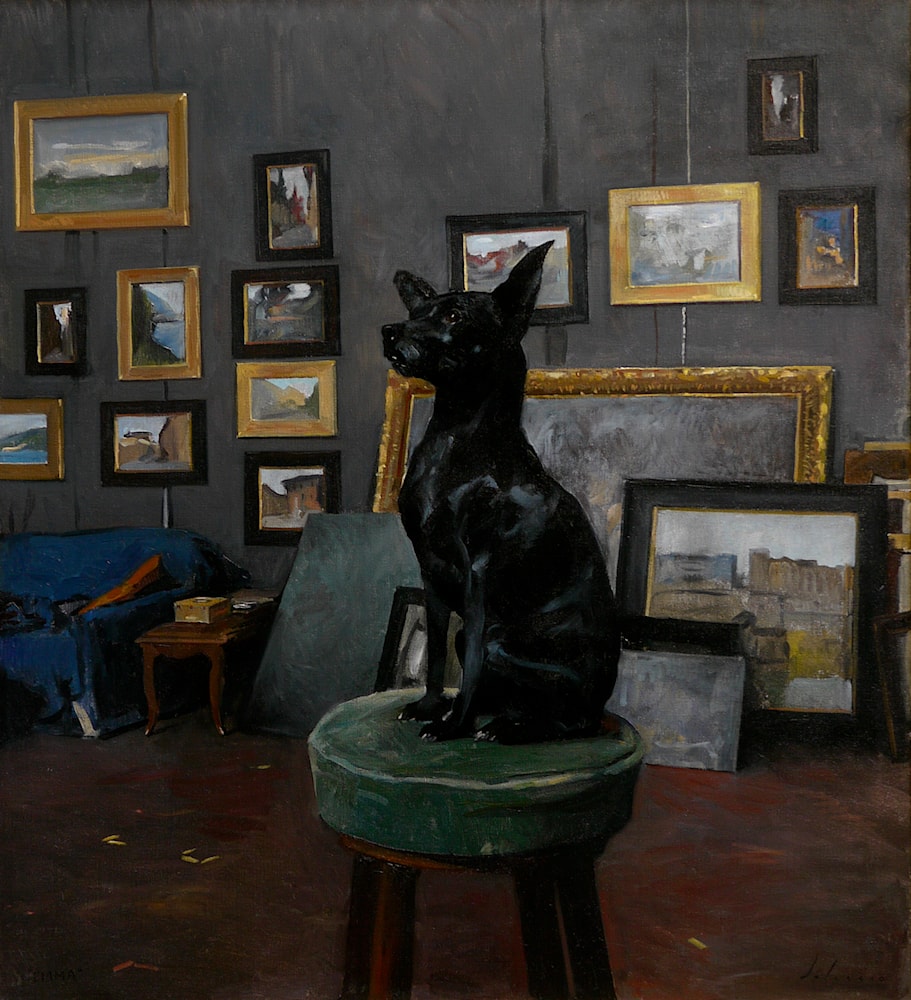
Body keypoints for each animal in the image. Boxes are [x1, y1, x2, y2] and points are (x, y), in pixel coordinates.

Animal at [382, 242, 619, 743]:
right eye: (415, 312)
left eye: (454, 315)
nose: (389, 331)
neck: (455, 442)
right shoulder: (431, 575)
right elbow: (436, 654)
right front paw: (430, 706)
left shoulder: (479, 579)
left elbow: (469, 664)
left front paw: (453, 725)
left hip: (509, 645)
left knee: (571, 720)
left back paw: (509, 728)